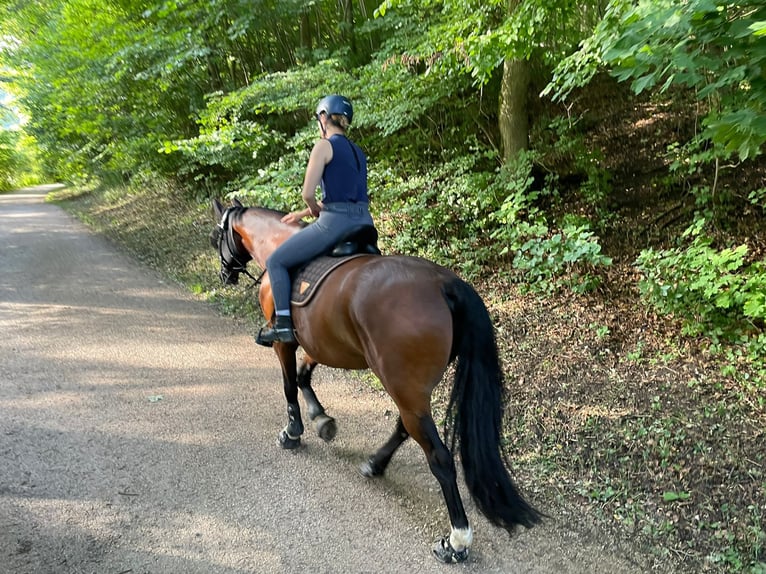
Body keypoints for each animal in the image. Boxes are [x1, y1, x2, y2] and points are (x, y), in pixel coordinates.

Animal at [210, 200, 544, 564]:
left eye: (216, 237)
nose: (224, 274)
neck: (276, 242)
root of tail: (444, 283)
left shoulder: (285, 343)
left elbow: (288, 384)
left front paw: (293, 432)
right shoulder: (320, 343)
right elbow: (302, 376)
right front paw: (322, 419)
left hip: (401, 384)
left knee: (439, 457)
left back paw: (456, 541)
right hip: (408, 388)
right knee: (405, 426)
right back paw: (375, 464)